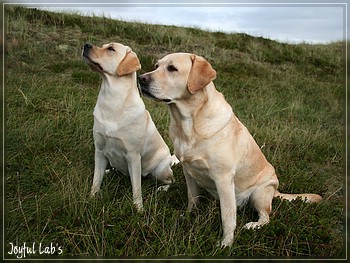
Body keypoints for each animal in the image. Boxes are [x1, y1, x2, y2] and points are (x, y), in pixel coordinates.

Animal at [137, 53, 322, 248]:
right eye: (156, 66)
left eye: (172, 68)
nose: (141, 78)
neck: (189, 123)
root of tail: (275, 192)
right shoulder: (189, 172)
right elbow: (192, 198)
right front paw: (188, 216)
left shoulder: (223, 179)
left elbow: (227, 218)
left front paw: (226, 244)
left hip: (259, 193)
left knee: (266, 217)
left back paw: (253, 225)